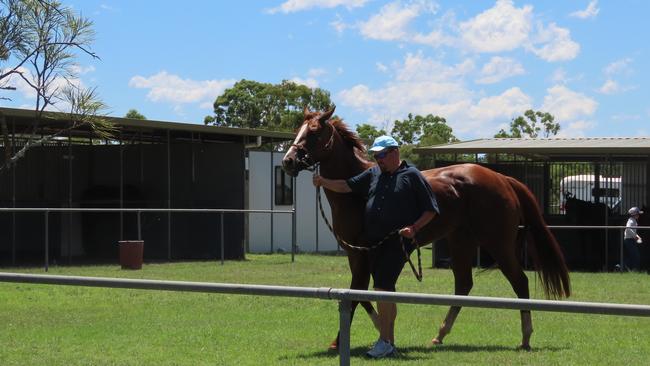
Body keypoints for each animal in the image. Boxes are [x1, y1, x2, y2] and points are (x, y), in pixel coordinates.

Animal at [280, 106, 568, 352]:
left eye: (314, 132)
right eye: (298, 130)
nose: (288, 161)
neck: (354, 192)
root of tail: (502, 178)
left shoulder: (362, 253)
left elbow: (357, 293)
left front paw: (346, 341)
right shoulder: (358, 253)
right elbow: (363, 293)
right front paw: (381, 331)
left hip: (498, 243)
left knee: (520, 282)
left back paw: (526, 338)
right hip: (460, 240)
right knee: (464, 284)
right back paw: (440, 334)